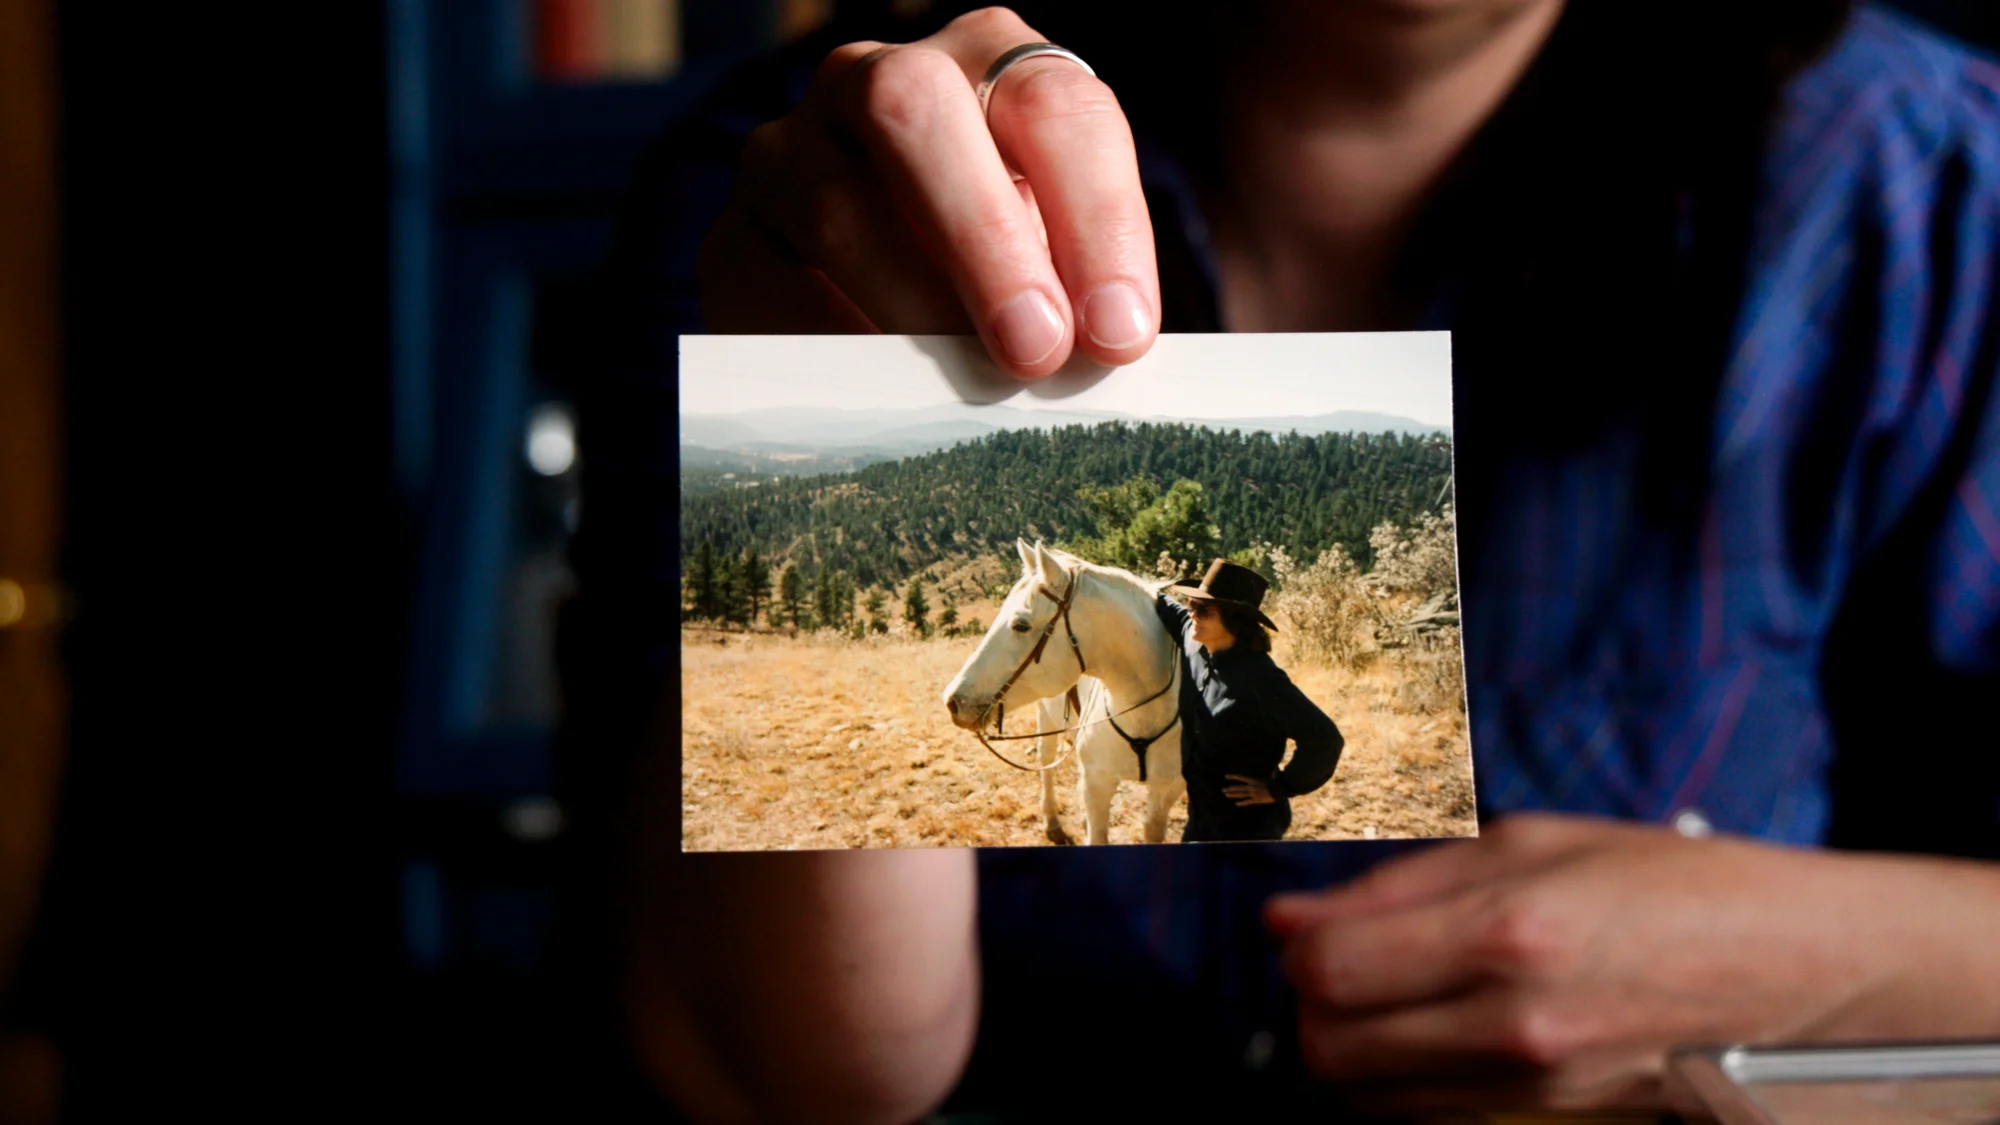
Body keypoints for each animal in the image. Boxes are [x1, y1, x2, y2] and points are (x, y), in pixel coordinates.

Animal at [940, 536, 1176, 840]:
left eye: (1021, 625)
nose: (953, 702)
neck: (1144, 715)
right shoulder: (1098, 783)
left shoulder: (1167, 789)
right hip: (1045, 716)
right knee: (1046, 761)